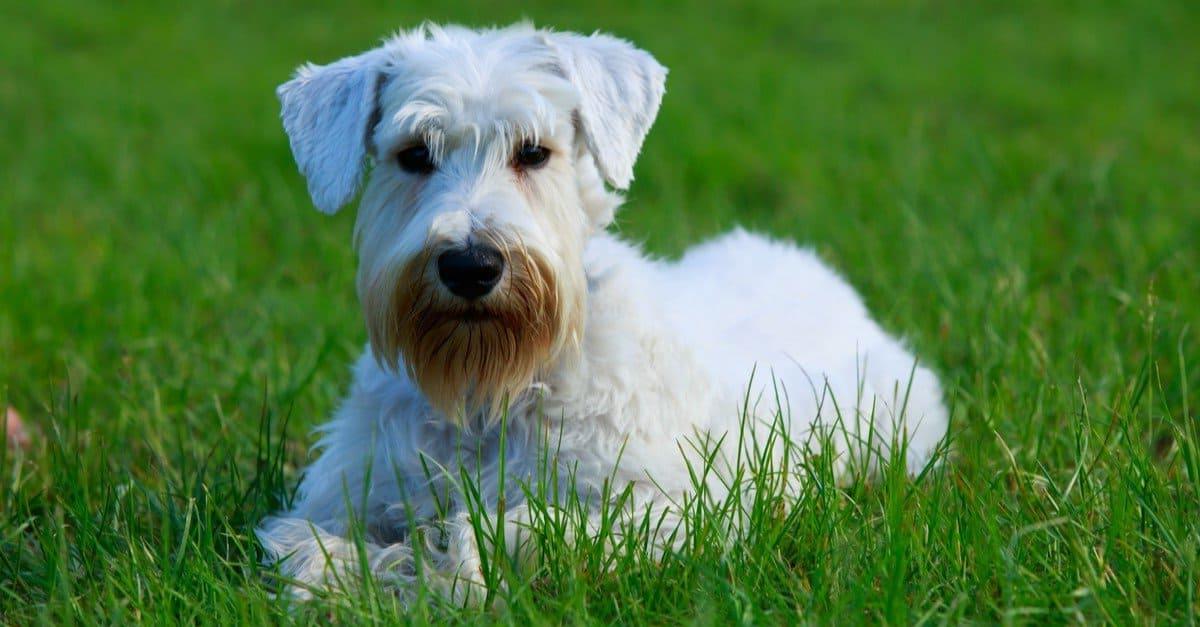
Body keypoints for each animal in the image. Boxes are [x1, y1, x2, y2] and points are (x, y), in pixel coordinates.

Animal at [260, 23, 945, 600]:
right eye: (413, 155)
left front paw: (446, 571)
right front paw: (377, 574)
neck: (494, 387)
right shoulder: (336, 497)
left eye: (534, 152)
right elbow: (312, 550)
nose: (471, 266)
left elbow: (514, 531)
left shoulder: (674, 506)